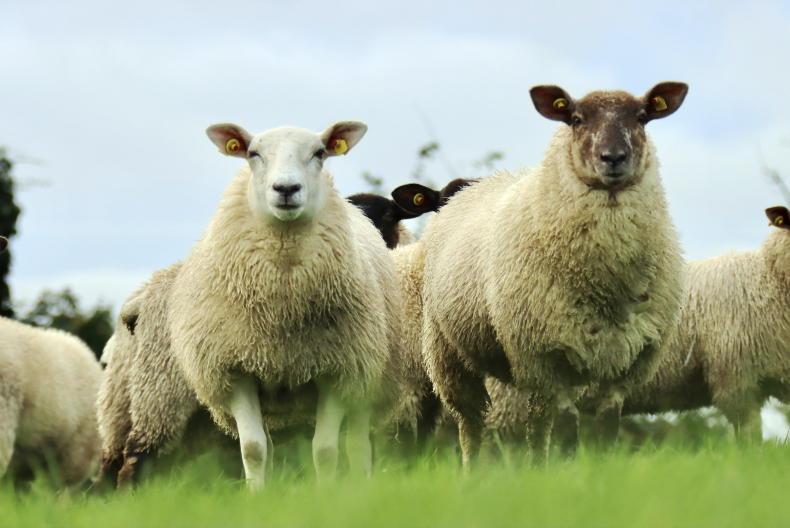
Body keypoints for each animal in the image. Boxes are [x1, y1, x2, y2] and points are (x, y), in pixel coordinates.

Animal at [164, 121, 404, 490]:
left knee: (357, 443)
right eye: (253, 154)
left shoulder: (336, 370)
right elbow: (253, 449)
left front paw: (327, 494)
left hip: (367, 377)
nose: (286, 189)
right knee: (270, 445)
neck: (282, 310)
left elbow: (325, 451)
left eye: (319, 153)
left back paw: (360, 485)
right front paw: (258, 495)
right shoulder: (237, 371)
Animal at [419, 82, 689, 466]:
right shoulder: (543, 354)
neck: (606, 287)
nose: (613, 157)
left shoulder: (628, 361)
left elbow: (606, 429)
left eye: (642, 117)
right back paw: (473, 471)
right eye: (575, 119)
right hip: (450, 354)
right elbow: (565, 430)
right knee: (472, 425)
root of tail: (476, 186)